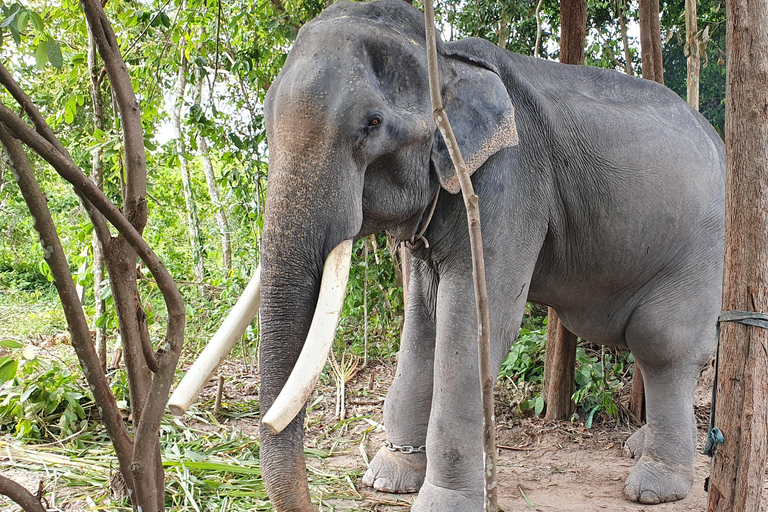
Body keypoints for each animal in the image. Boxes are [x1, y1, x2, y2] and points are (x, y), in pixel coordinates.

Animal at [254, 2, 728, 510]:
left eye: (373, 122)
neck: (445, 57)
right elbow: (424, 321)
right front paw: (387, 477)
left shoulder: (509, 182)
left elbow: (476, 322)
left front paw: (438, 501)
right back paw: (638, 447)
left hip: (702, 247)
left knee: (663, 342)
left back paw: (653, 485)